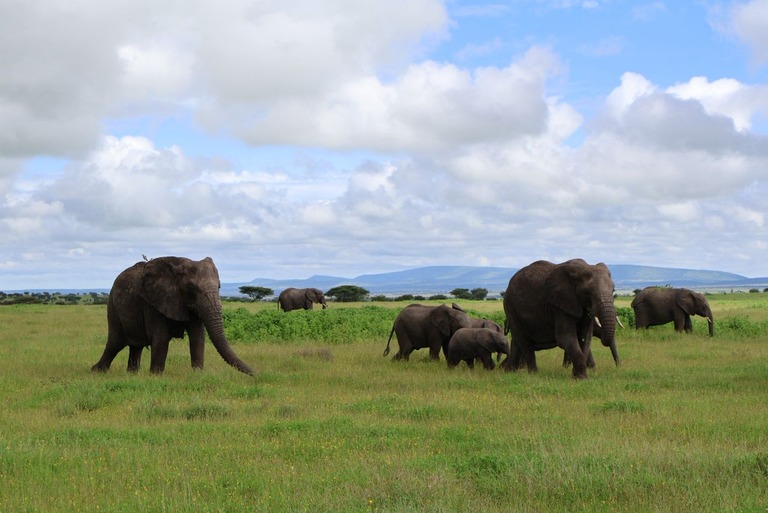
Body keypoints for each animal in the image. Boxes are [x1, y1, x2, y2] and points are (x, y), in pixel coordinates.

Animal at [91, 256, 254, 376]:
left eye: (219, 286)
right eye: (191, 287)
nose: (256, 373)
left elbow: (197, 337)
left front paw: (197, 374)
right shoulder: (153, 302)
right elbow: (161, 338)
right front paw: (155, 376)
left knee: (135, 346)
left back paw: (132, 374)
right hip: (113, 304)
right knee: (115, 342)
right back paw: (96, 371)